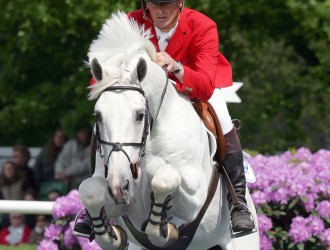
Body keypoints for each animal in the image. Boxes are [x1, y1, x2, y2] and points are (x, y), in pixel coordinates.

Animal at [78, 11, 260, 250]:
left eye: (139, 115)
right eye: (98, 115)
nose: (119, 187)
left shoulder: (196, 196)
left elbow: (164, 177)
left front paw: (163, 227)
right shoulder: (114, 192)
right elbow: (90, 191)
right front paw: (109, 234)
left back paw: (241, 216)